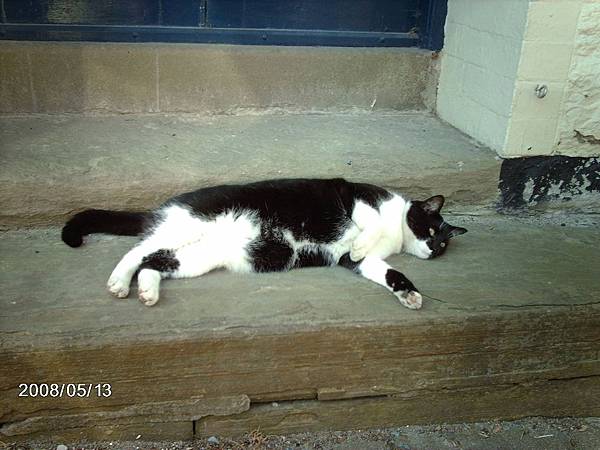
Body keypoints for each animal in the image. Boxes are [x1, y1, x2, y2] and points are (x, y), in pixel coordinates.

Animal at [61, 178, 466, 310]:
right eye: (431, 231)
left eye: (443, 244)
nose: (433, 249)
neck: (396, 231)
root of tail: (163, 207)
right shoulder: (359, 200)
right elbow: (364, 229)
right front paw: (357, 242)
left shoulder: (363, 264)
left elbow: (384, 270)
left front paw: (409, 293)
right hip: (184, 228)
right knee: (136, 251)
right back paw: (119, 282)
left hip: (198, 258)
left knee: (154, 263)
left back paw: (147, 291)